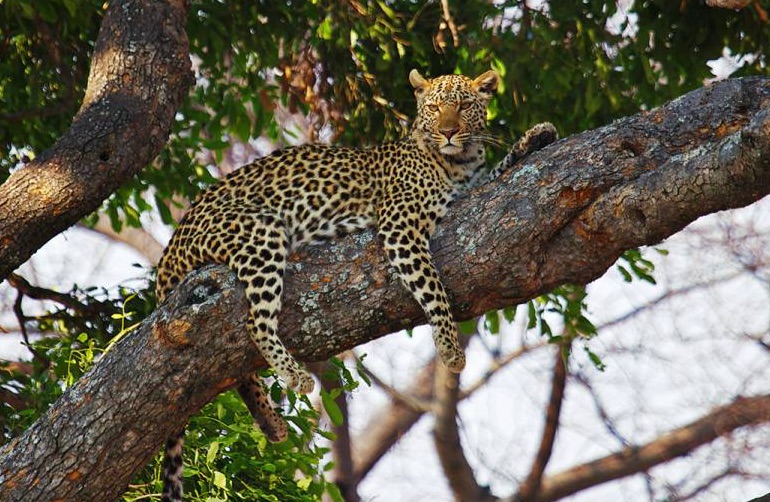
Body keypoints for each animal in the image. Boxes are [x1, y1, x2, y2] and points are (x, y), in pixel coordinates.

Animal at [156, 67, 556, 502]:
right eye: (435, 108)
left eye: (465, 106)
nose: (449, 132)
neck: (458, 162)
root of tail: (170, 247)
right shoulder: (400, 227)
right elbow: (433, 286)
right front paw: (450, 348)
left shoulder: (475, 191)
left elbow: (504, 167)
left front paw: (539, 135)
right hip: (259, 233)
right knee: (255, 323)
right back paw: (295, 377)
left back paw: (271, 424)